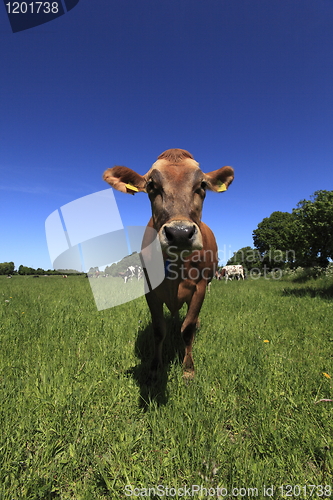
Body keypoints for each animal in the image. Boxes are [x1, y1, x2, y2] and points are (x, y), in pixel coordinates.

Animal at [102, 148, 232, 382]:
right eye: (151, 185)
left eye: (202, 185)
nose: (180, 233)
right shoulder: (150, 289)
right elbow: (158, 329)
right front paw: (155, 367)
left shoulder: (199, 287)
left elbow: (188, 328)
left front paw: (188, 368)